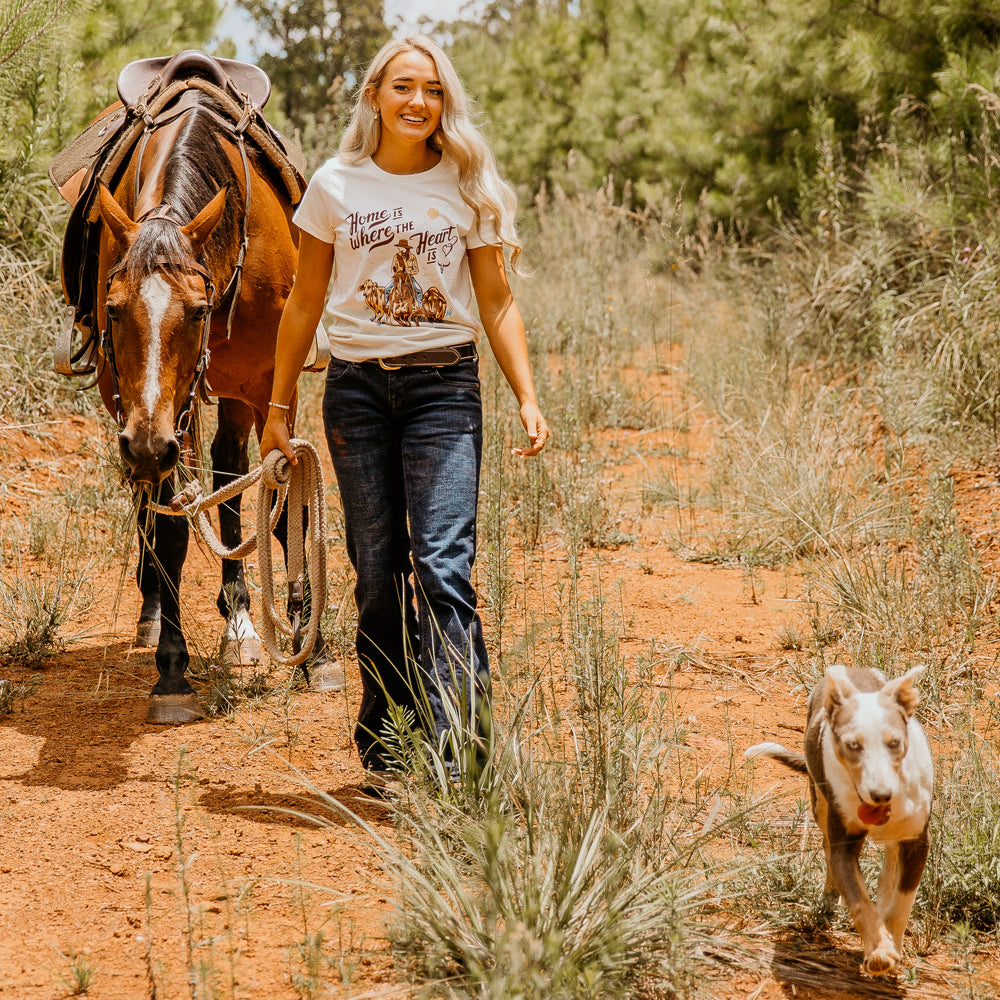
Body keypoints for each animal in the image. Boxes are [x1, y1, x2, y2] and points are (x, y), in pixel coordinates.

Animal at [84, 84, 340, 728]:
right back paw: (158, 614)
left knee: (229, 469)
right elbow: (170, 529)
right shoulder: (140, 415)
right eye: (114, 309)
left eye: (197, 311)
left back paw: (242, 619)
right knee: (153, 506)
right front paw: (172, 674)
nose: (147, 444)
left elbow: (289, 502)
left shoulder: (273, 383)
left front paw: (314, 651)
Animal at [748, 664, 932, 976]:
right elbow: (859, 901)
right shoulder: (843, 846)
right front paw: (879, 950)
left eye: (895, 743)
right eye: (853, 744)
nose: (881, 794)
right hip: (819, 805)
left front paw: (891, 943)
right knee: (830, 859)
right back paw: (827, 905)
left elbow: (901, 903)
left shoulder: (917, 842)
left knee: (888, 870)